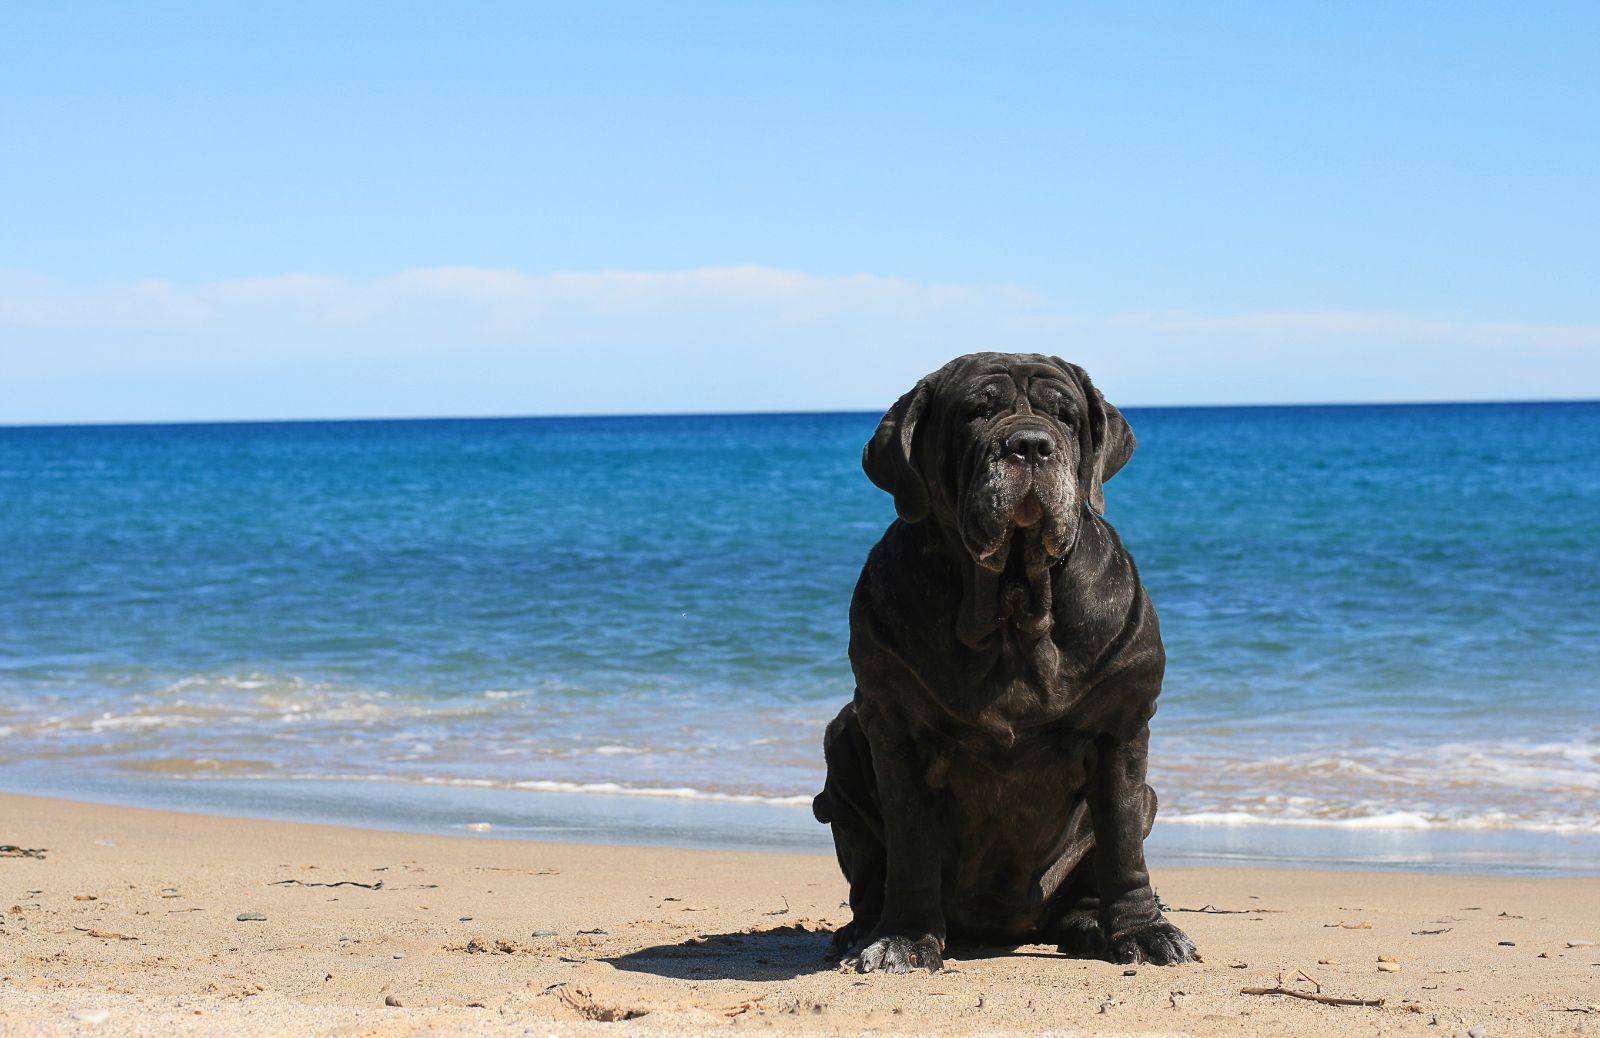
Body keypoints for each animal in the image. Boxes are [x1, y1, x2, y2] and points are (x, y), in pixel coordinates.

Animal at [812, 353, 1203, 972]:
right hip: (843, 741)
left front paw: (1142, 931)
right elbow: (911, 845)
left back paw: (1090, 923)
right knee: (870, 872)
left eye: (1065, 417)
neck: (1013, 607)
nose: (1030, 446)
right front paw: (904, 938)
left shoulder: (1121, 726)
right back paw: (861, 930)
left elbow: (1121, 843)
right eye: (976, 412)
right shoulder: (891, 726)